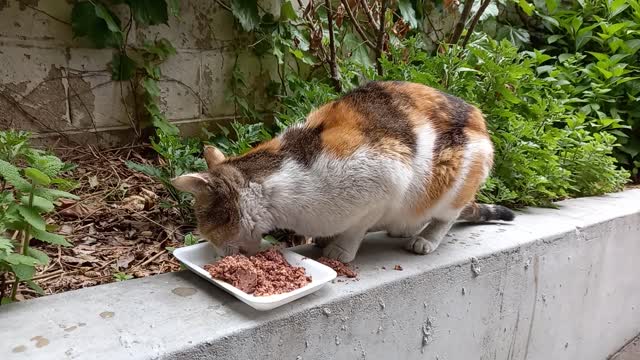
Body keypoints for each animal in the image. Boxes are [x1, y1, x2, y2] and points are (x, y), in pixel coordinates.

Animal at [171, 81, 516, 262]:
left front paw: (338, 251)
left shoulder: (388, 180)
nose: (218, 256)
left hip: (455, 177)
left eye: (208, 231)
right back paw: (404, 229)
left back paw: (424, 240)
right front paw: (324, 242)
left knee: (447, 216)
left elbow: (356, 227)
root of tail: (481, 122)